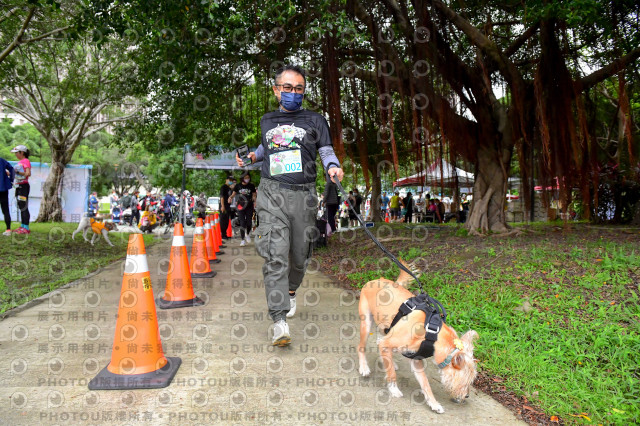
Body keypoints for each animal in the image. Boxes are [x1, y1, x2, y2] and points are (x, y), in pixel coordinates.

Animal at [358, 262, 478, 414]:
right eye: (466, 379)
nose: (467, 395)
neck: (431, 333)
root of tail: (376, 280)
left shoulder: (416, 360)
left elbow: (426, 384)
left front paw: (433, 403)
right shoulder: (390, 344)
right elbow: (392, 374)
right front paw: (393, 389)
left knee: (380, 342)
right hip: (366, 324)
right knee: (361, 347)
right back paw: (364, 367)